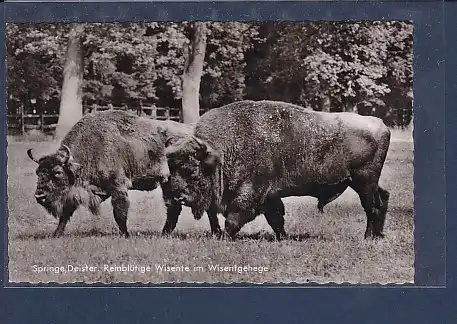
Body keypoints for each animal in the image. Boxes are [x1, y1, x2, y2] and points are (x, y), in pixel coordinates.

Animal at [25, 110, 184, 237]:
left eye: (58, 172)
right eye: (38, 172)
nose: (39, 196)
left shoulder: (118, 187)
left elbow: (119, 214)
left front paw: (126, 235)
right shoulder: (76, 193)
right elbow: (65, 214)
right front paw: (56, 234)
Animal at [164, 101, 388, 240]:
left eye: (192, 170)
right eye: (171, 170)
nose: (178, 197)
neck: (223, 152)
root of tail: (381, 125)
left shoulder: (250, 193)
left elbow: (234, 218)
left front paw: (224, 237)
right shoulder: (269, 197)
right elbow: (276, 219)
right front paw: (283, 237)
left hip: (363, 182)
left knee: (373, 206)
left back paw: (369, 237)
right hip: (367, 183)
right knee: (383, 198)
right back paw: (377, 236)